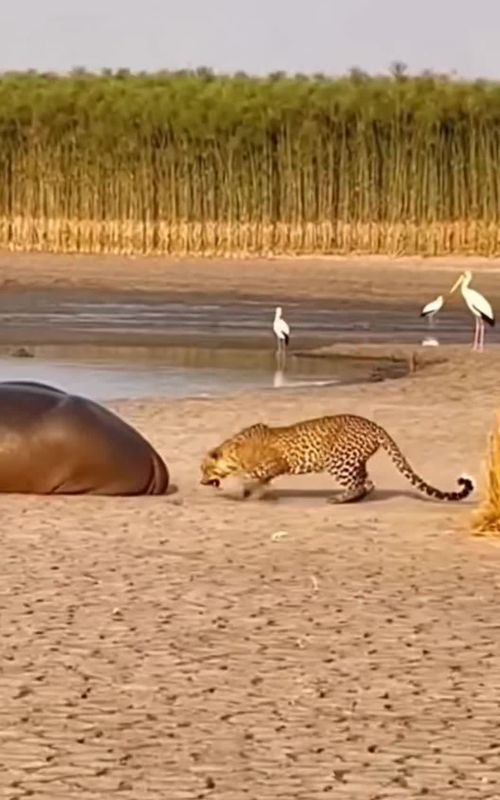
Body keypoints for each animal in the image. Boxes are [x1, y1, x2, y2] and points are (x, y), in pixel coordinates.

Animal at [199, 414, 474, 504]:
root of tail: (374, 425)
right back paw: (353, 499)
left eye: (204, 468)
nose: (201, 481)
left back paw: (339, 499)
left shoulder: (275, 464)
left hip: (338, 462)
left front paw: (247, 492)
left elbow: (253, 477)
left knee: (358, 484)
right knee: (367, 483)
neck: (234, 451)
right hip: (355, 461)